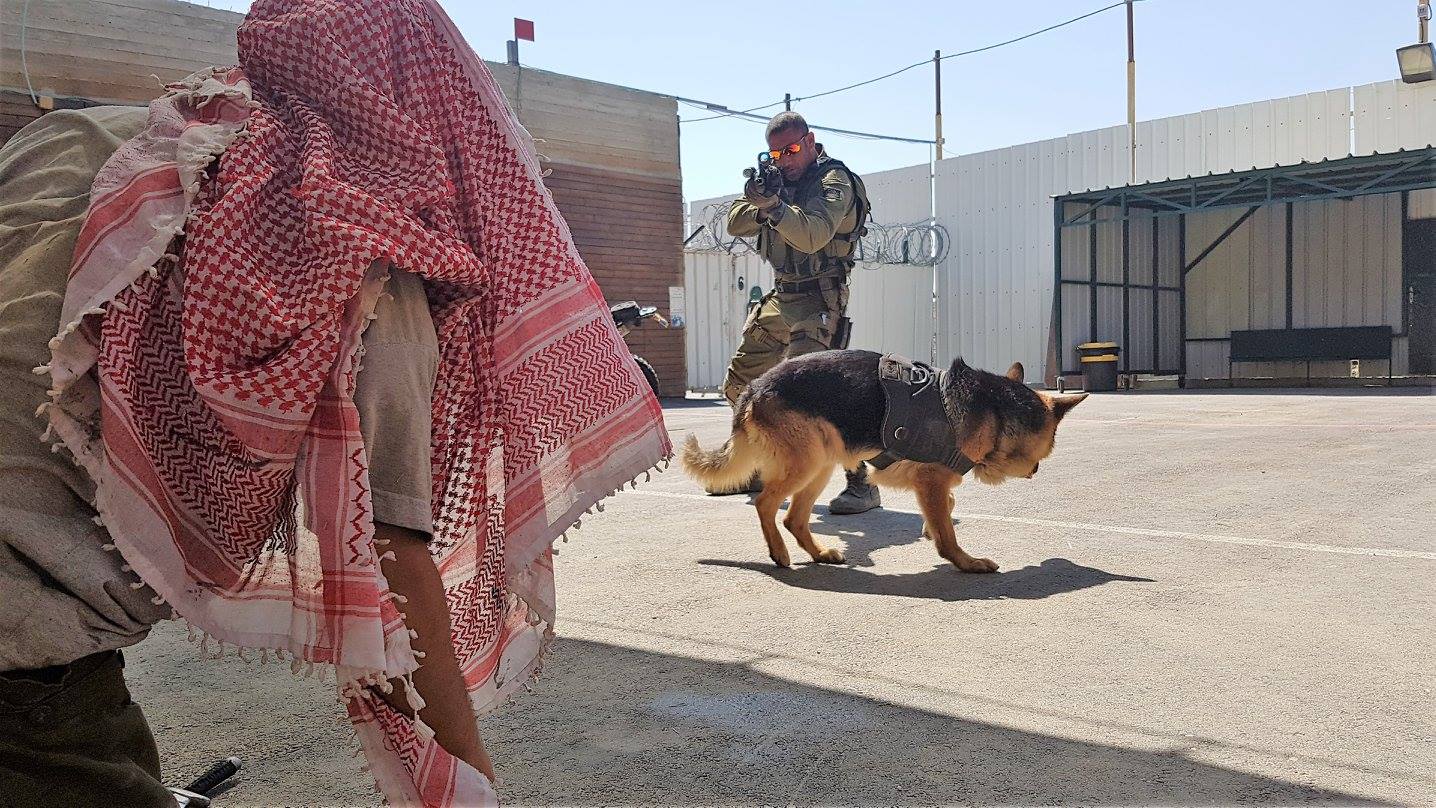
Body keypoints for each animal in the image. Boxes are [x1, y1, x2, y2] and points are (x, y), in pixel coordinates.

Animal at [683, 351, 1085, 571]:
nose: (1036, 469)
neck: (993, 411)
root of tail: (754, 387)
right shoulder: (931, 480)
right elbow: (948, 533)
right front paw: (965, 562)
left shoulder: (933, 485)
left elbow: (946, 509)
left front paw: (931, 528)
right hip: (807, 464)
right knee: (766, 503)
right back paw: (779, 554)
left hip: (821, 465)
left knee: (793, 517)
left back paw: (818, 553)